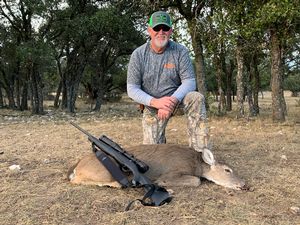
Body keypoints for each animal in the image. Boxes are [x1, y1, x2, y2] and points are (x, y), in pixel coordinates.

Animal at [68, 144, 246, 190]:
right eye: (227, 170)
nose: (244, 184)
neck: (196, 164)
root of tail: (76, 166)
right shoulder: (172, 172)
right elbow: (197, 181)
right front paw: (161, 184)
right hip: (105, 172)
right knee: (75, 180)